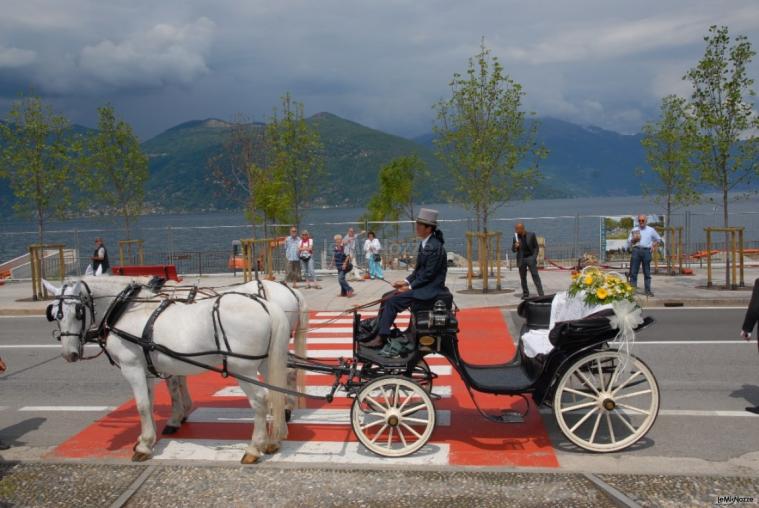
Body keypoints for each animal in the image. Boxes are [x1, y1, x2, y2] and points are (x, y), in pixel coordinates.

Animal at [45, 278, 290, 464]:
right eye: (54, 313)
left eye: (78, 312)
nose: (69, 354)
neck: (126, 311)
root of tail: (266, 306)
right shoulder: (145, 370)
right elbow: (150, 402)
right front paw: (148, 438)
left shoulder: (132, 367)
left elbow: (142, 405)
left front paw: (144, 446)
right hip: (267, 363)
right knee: (277, 395)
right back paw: (274, 440)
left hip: (243, 368)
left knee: (260, 400)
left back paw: (254, 448)